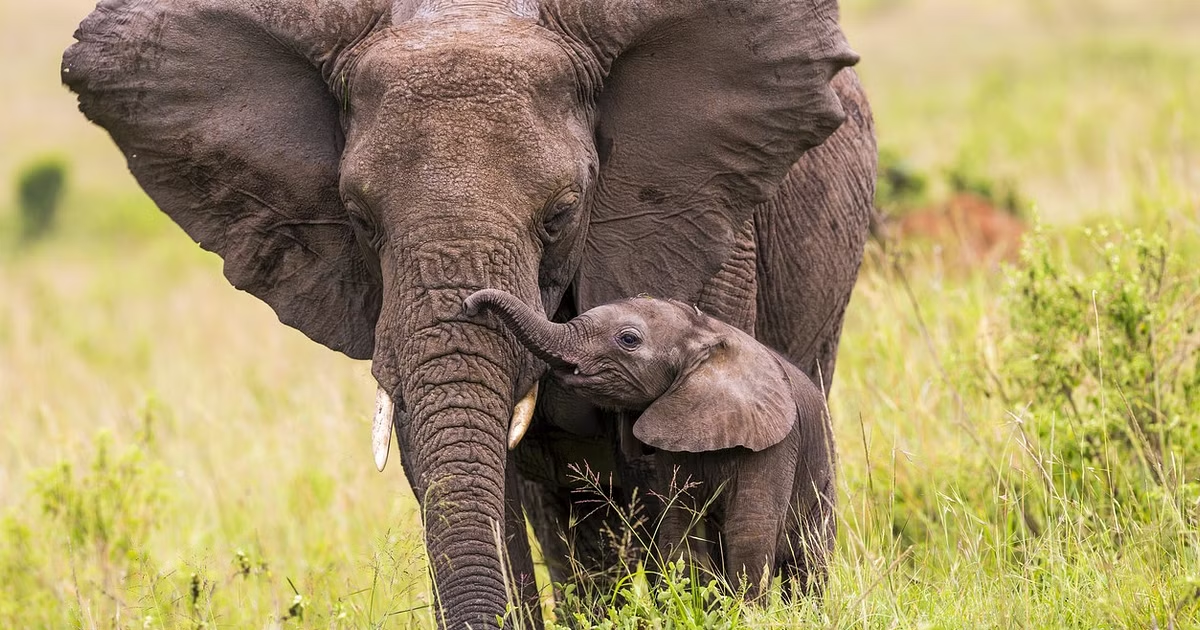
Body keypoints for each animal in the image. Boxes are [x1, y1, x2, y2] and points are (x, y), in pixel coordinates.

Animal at [463, 289, 840, 595]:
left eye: (628, 339)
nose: (468, 305)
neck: (707, 333)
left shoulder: (773, 445)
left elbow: (749, 532)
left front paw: (745, 614)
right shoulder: (678, 436)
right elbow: (680, 526)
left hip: (823, 486)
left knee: (809, 565)